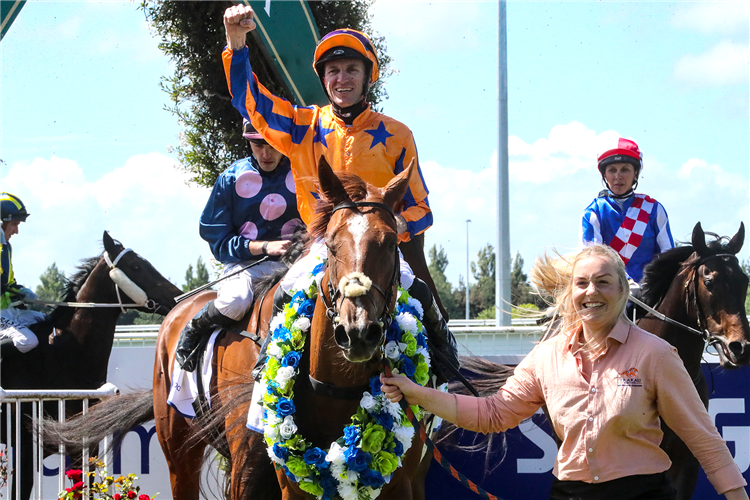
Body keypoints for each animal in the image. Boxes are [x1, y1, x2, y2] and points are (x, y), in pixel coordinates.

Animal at [44, 161, 434, 500]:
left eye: (391, 243)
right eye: (332, 244)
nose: (358, 331)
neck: (333, 388)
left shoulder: (402, 482)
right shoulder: (264, 472)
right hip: (178, 446)